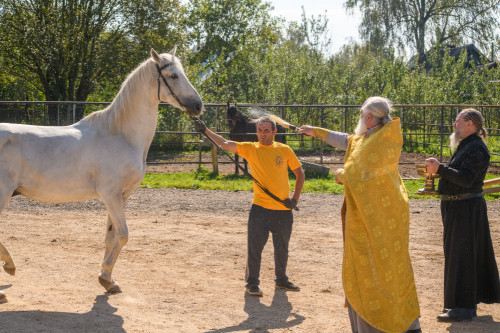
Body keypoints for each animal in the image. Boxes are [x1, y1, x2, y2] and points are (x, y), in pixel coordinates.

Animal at [0, 47, 203, 300]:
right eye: (174, 75)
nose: (198, 106)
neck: (119, 134)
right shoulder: (110, 195)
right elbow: (123, 234)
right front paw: (106, 277)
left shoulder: (121, 196)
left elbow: (111, 236)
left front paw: (107, 280)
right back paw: (8, 267)